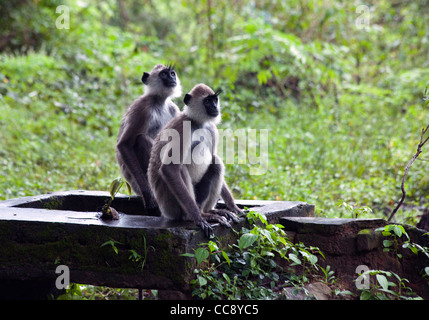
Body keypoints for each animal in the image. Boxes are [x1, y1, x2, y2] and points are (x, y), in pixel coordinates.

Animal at [115, 63, 181, 211]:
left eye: (172, 73)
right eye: (164, 74)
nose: (172, 78)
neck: (159, 101)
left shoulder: (174, 109)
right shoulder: (142, 108)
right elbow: (124, 145)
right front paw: (148, 194)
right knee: (141, 139)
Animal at [146, 82, 241, 238]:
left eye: (215, 100)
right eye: (207, 101)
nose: (215, 107)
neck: (198, 123)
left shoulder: (212, 129)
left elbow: (213, 155)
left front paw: (233, 207)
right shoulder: (182, 129)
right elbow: (169, 169)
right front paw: (198, 219)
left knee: (216, 163)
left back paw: (209, 211)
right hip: (169, 205)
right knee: (180, 168)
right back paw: (194, 216)